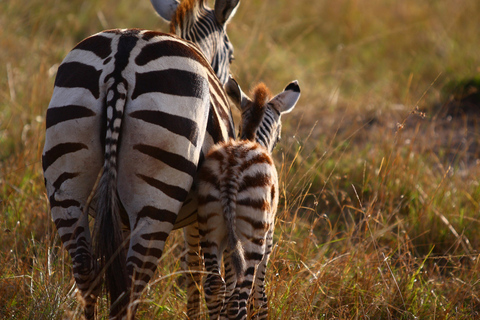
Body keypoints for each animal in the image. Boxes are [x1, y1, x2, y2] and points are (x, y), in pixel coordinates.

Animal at [42, 1, 240, 318]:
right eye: (230, 54)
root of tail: (122, 61)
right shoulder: (204, 213)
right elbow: (202, 277)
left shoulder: (119, 220)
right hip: (157, 198)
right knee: (133, 282)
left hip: (66, 186)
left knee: (87, 270)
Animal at [196, 77, 300, 320]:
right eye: (279, 136)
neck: (252, 138)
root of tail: (231, 171)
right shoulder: (269, 236)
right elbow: (260, 291)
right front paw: (261, 313)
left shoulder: (228, 244)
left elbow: (229, 281)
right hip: (253, 237)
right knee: (238, 301)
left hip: (209, 227)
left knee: (214, 285)